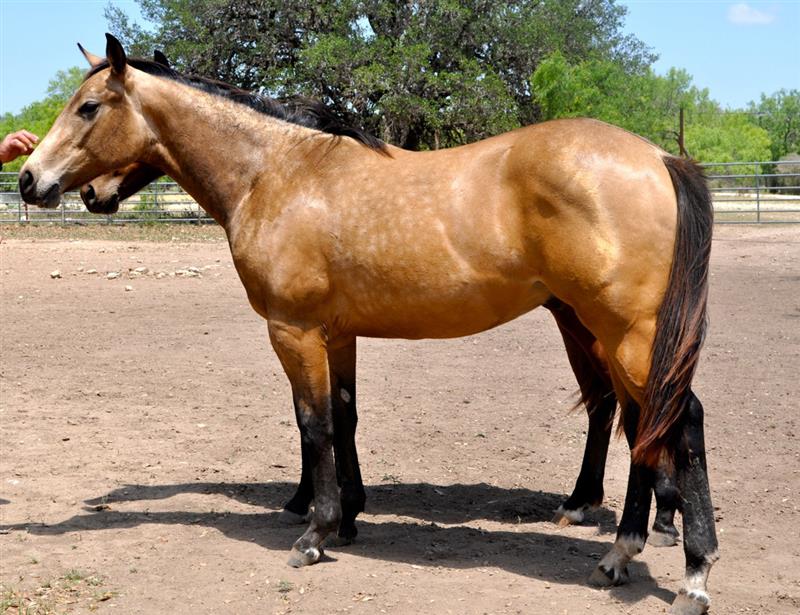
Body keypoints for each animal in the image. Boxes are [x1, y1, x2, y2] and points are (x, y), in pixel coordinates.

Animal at [18, 36, 720, 612]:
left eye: (88, 108)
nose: (29, 179)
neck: (278, 172)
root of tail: (659, 157)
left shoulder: (293, 329)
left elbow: (315, 422)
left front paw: (316, 530)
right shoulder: (337, 332)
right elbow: (345, 415)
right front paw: (349, 517)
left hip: (626, 333)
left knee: (677, 421)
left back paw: (692, 575)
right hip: (612, 333)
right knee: (639, 422)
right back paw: (620, 552)